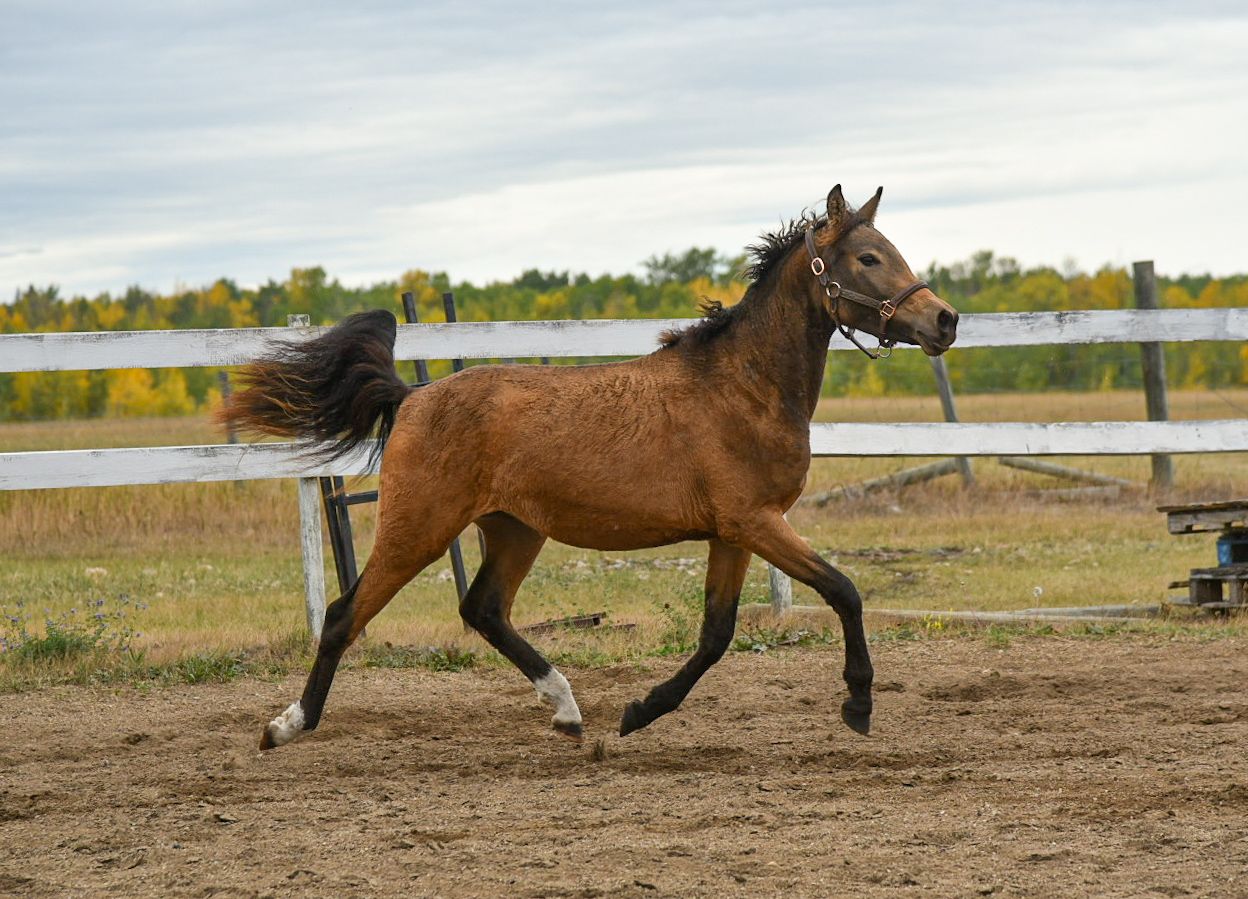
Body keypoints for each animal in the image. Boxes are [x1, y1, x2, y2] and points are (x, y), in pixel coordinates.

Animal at [221, 185, 958, 750]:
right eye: (868, 256)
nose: (945, 321)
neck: (742, 386)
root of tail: (410, 398)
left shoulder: (734, 532)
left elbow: (716, 635)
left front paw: (637, 713)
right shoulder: (756, 522)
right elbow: (844, 590)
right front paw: (858, 703)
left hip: (514, 529)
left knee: (483, 609)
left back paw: (568, 711)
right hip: (418, 527)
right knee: (345, 614)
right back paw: (287, 725)